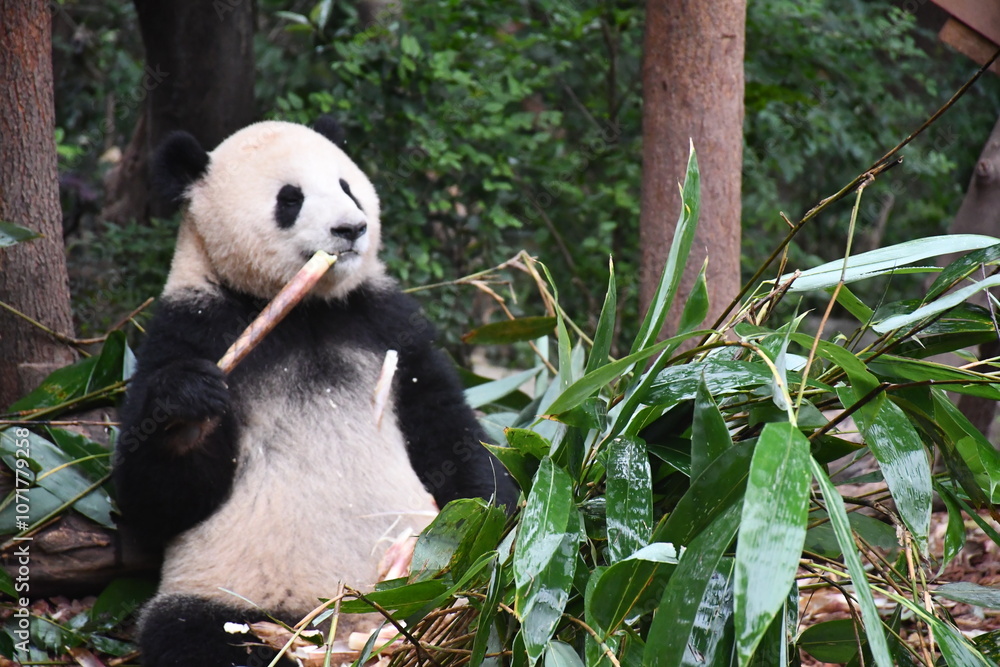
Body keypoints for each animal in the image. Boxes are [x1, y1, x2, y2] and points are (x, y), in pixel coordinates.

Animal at [114, 117, 516, 667]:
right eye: (291, 198)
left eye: (347, 186)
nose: (351, 229)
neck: (303, 307)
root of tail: (353, 629)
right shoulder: (190, 325)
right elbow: (155, 499)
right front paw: (187, 407)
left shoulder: (385, 322)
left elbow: (445, 429)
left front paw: (492, 510)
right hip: (229, 591)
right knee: (192, 634)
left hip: (438, 586)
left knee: (484, 603)